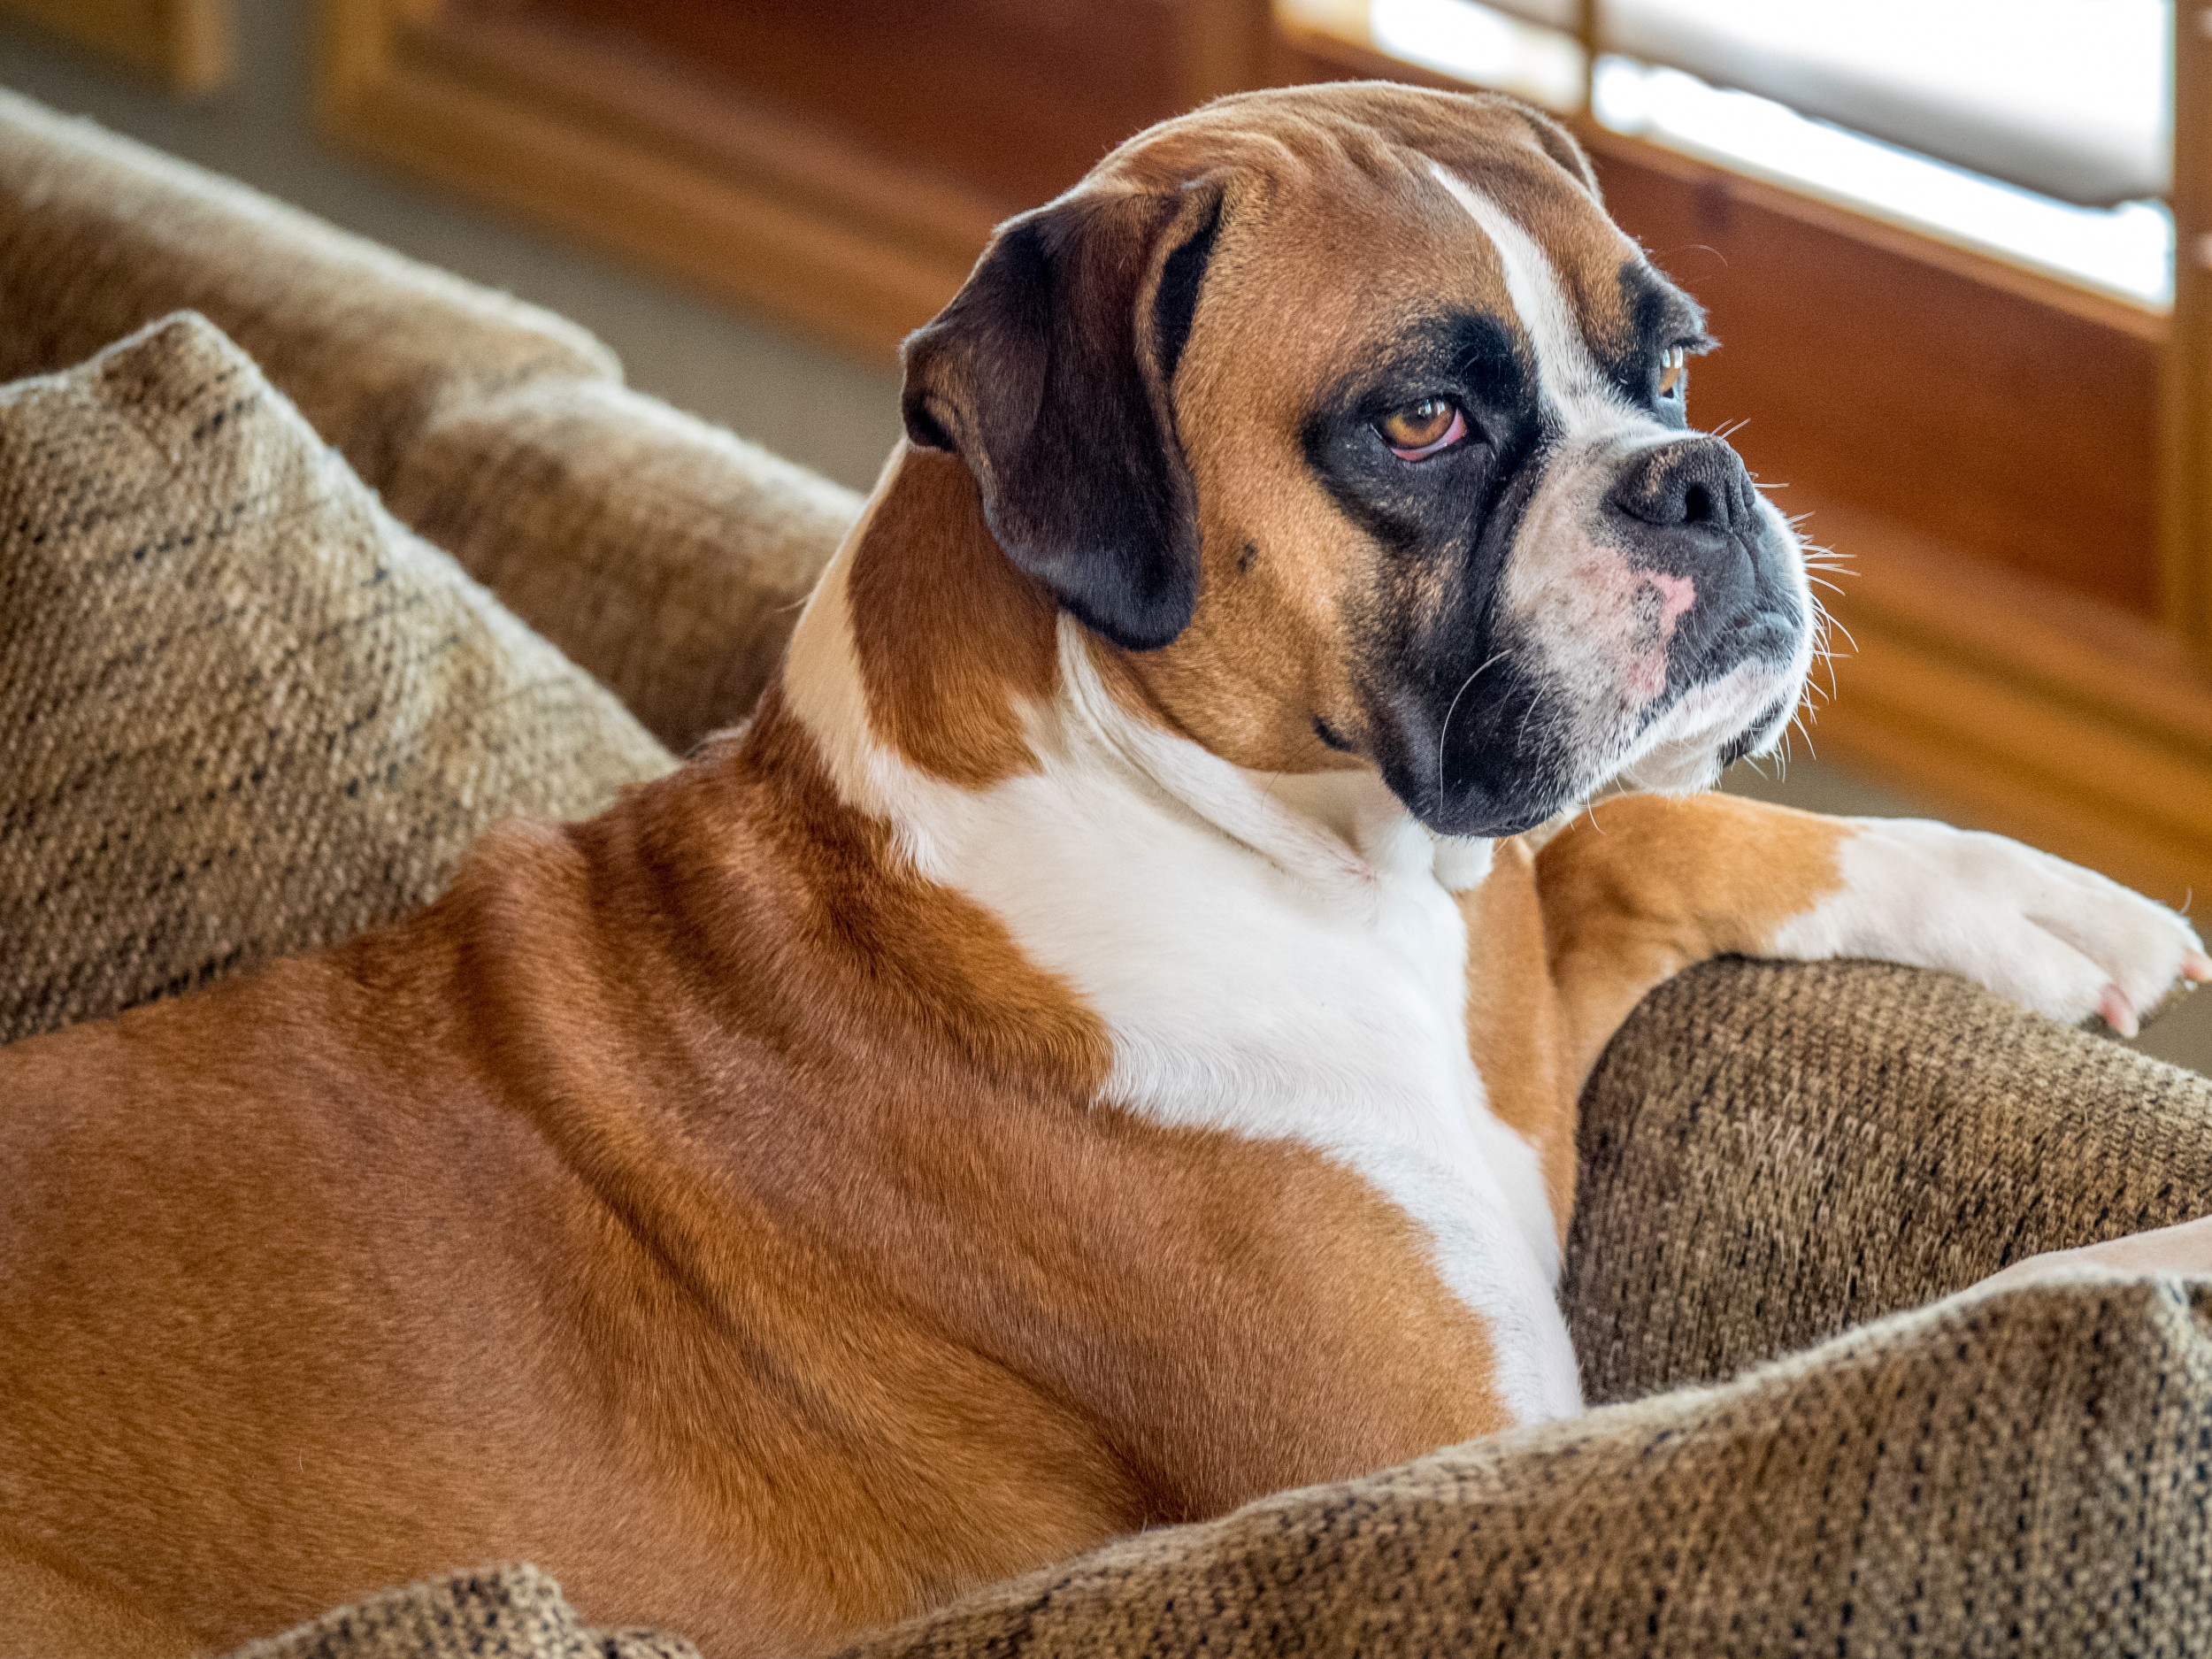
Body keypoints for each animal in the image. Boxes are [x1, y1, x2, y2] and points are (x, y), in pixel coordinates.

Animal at [4, 81, 2212, 1659]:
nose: (1700, 479)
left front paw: (2023, 893)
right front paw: (2149, 1270)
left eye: (1666, 362)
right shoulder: (1444, 1457)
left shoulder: (1500, 939)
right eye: (1421, 420)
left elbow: (1642, 832)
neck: (1311, 875)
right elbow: (1856, 1358)